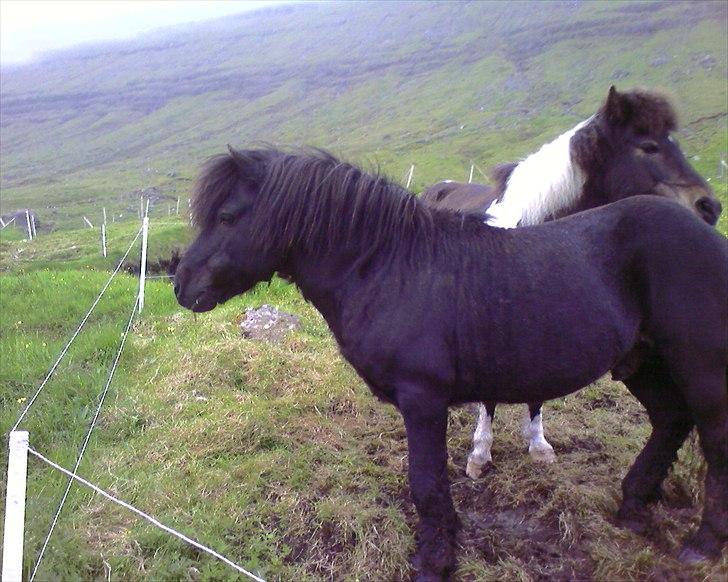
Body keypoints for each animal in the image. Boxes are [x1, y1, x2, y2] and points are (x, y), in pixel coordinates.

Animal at [176, 148, 728, 580]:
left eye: (227, 216)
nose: (182, 286)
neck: (389, 267)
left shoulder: (422, 400)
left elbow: (425, 482)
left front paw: (434, 561)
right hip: (644, 362)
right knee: (670, 421)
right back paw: (633, 506)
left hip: (698, 366)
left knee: (713, 439)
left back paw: (702, 544)